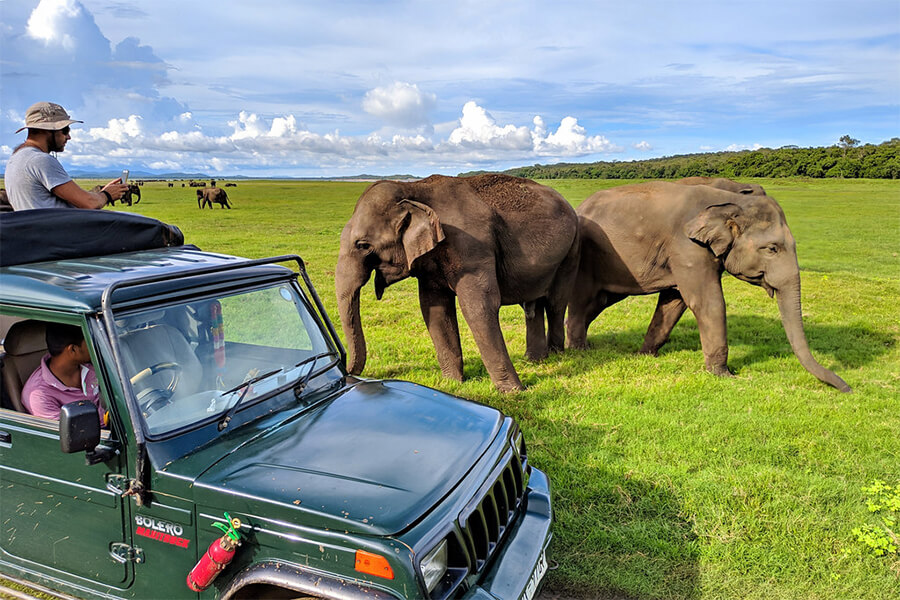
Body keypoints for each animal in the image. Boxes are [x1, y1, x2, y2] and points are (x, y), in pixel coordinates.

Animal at [336, 173, 580, 392]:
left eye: (362, 245)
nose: (347, 371)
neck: (414, 189)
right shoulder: (430, 260)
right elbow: (434, 310)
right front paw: (452, 383)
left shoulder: (471, 247)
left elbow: (479, 307)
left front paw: (514, 391)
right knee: (533, 306)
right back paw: (535, 360)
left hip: (572, 249)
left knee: (556, 303)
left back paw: (557, 354)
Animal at [566, 181, 850, 392]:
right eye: (772, 249)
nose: (847, 388)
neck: (729, 198)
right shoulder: (687, 246)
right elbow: (707, 301)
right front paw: (724, 376)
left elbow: (674, 302)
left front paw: (644, 356)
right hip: (585, 257)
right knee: (583, 302)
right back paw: (579, 351)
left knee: (599, 302)